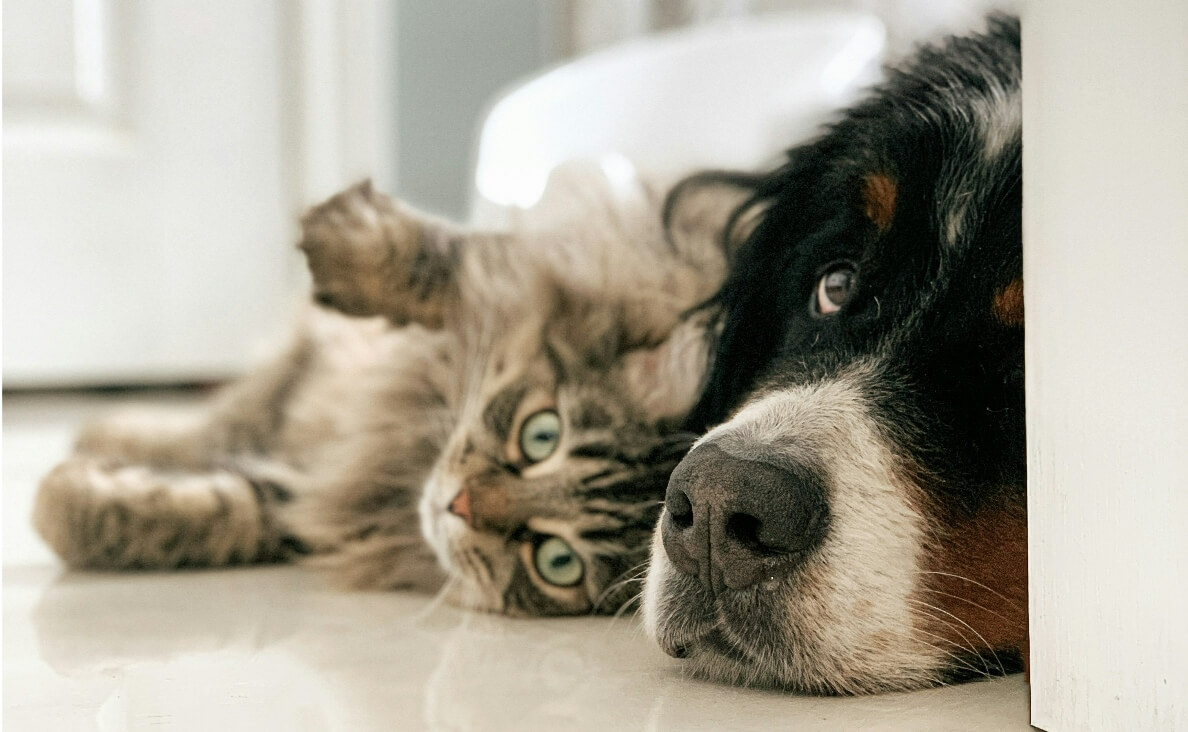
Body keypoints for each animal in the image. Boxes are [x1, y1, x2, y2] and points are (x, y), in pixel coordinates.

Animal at [37, 162, 746, 613]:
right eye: (541, 436)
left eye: (556, 561)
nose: (459, 506)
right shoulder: (547, 271)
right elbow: (446, 264)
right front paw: (341, 236)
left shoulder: (312, 503)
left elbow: (215, 511)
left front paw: (61, 502)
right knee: (215, 420)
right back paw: (105, 429)